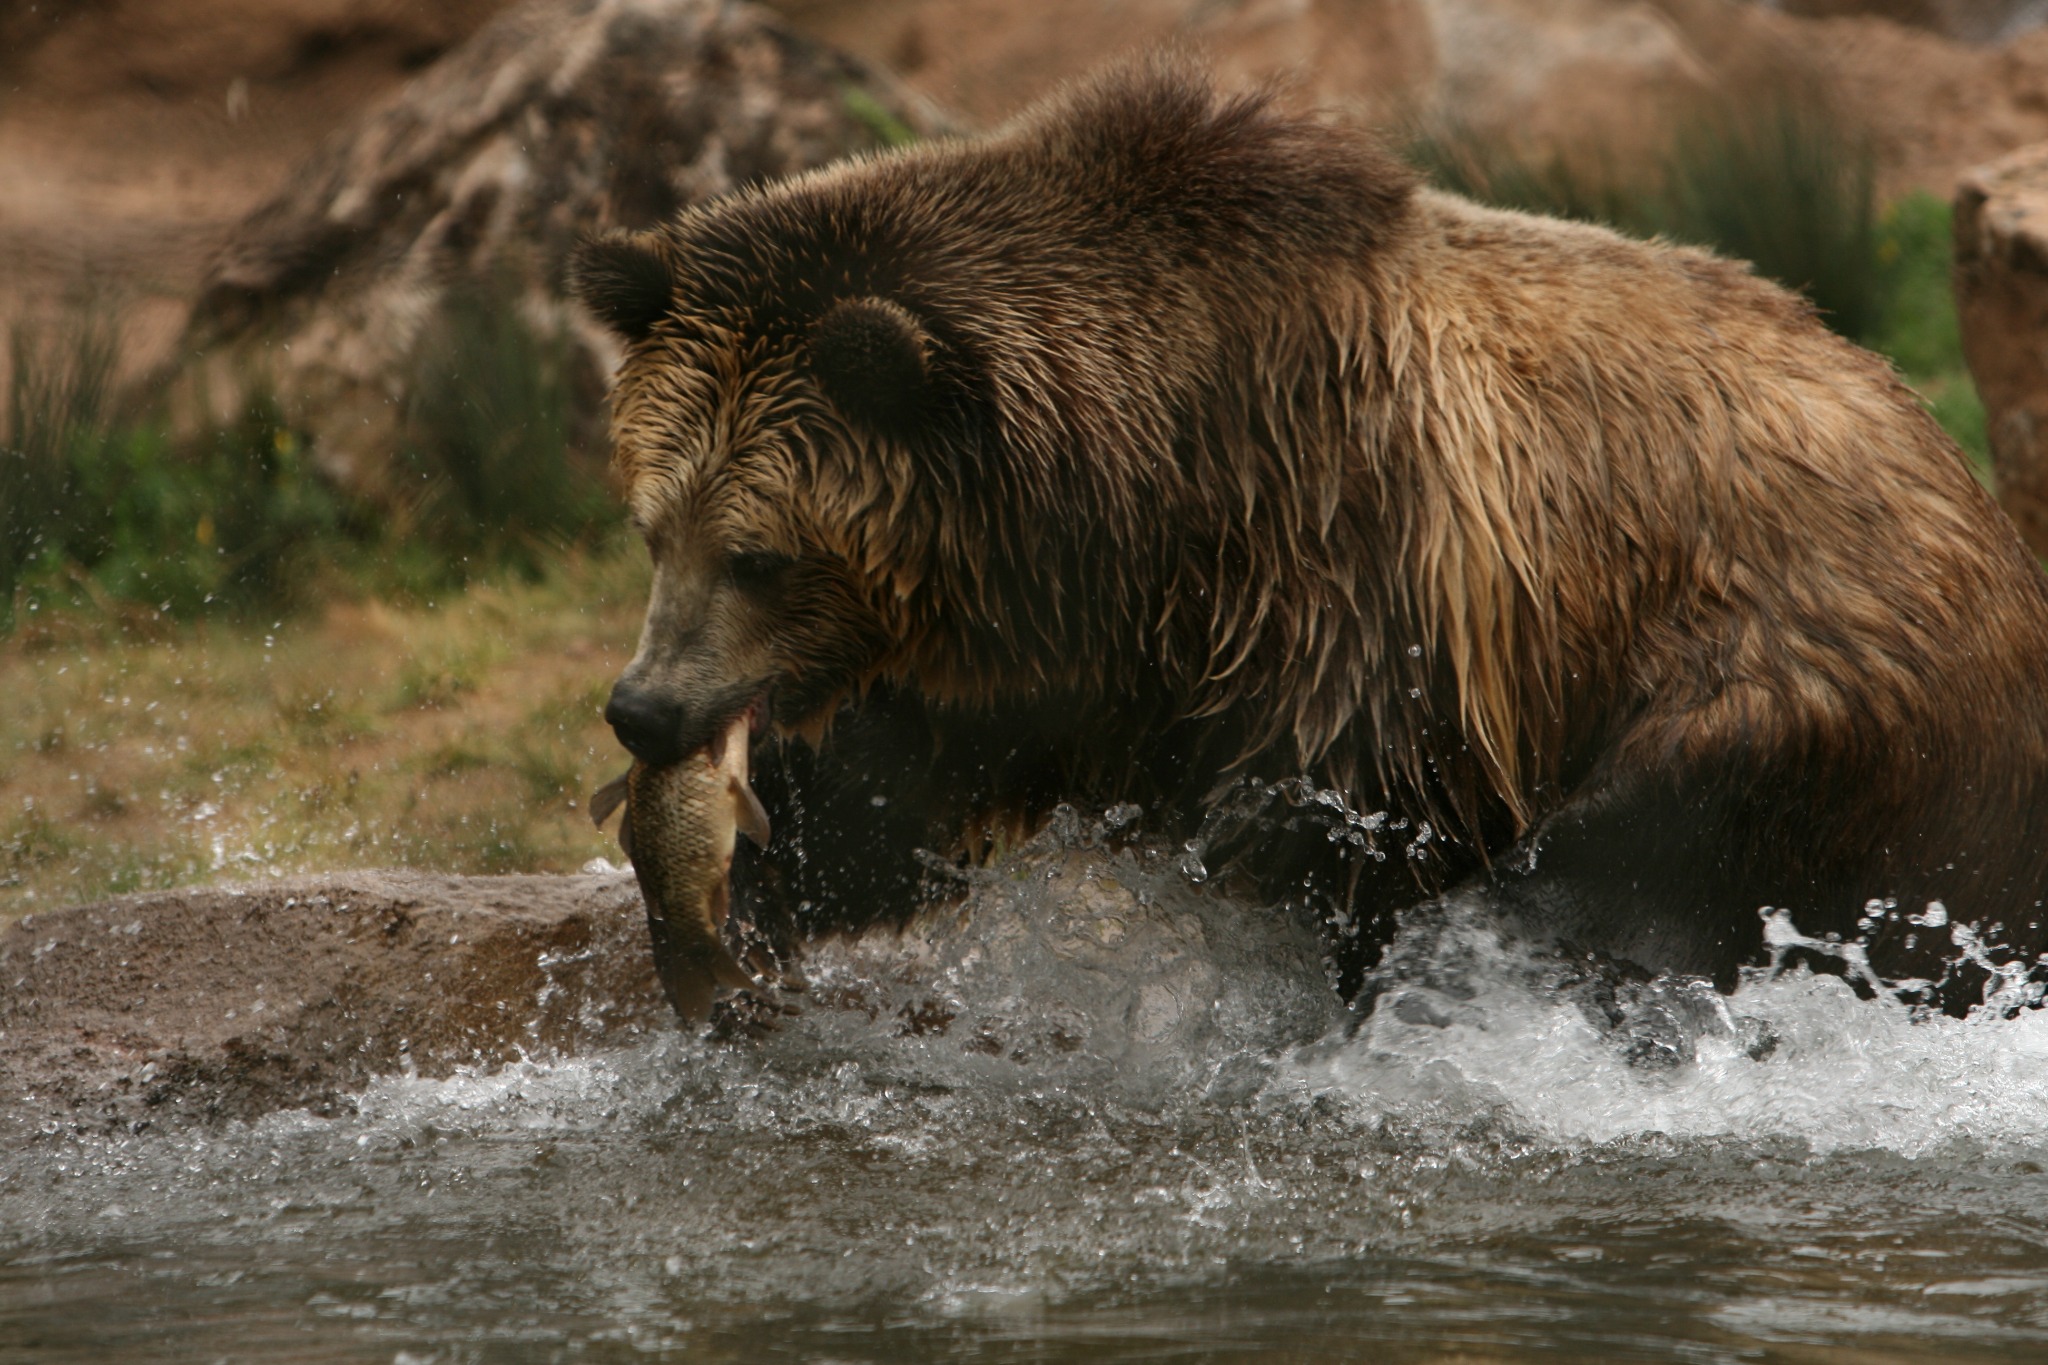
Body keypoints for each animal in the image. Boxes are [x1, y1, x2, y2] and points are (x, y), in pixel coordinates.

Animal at [569, 58, 2048, 1016]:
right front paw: (741, 883)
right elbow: (899, 791)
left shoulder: (1351, 567)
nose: (645, 708)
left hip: (1803, 667)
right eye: (652, 525)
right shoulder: (1051, 644)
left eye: (760, 552)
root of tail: (1946, 459)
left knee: (1647, 843)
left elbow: (1340, 819)